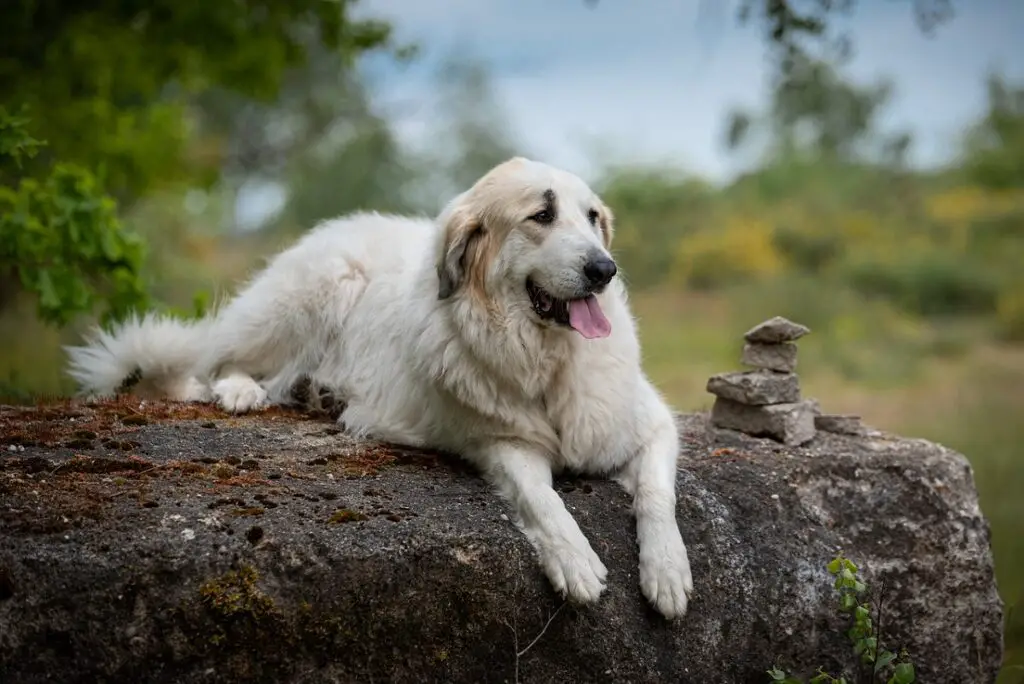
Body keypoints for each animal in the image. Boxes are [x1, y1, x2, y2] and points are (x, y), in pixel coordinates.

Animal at [66, 157, 696, 618]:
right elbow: (543, 501)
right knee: (216, 363)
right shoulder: (503, 445)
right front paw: (575, 560)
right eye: (541, 215)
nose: (604, 269)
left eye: (591, 217)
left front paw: (667, 572)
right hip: (308, 295)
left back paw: (318, 393)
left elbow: (658, 496)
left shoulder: (650, 425)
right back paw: (244, 391)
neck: (546, 357)